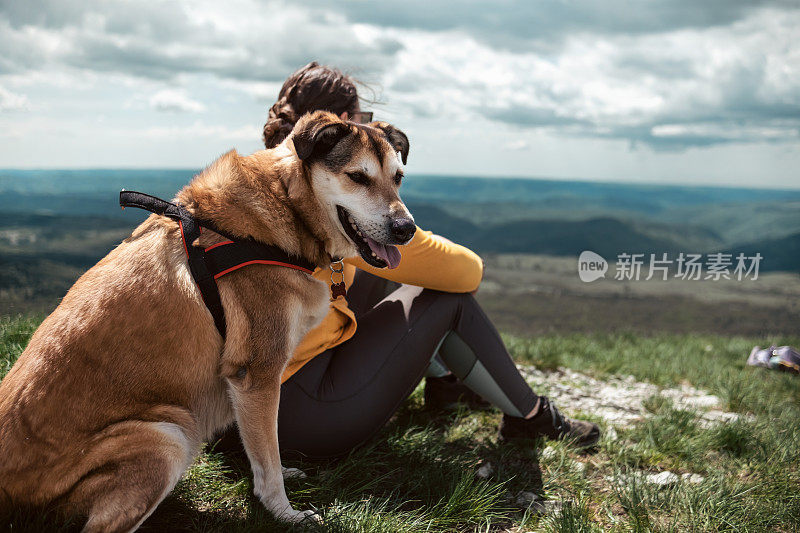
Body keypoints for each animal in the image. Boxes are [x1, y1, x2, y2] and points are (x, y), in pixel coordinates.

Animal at [0, 110, 412, 528]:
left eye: (398, 177)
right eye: (357, 177)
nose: (407, 229)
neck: (288, 203)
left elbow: (264, 447)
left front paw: (282, 474)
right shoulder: (256, 375)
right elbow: (268, 457)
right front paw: (286, 514)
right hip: (167, 436)